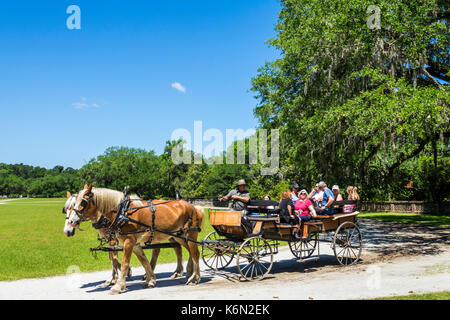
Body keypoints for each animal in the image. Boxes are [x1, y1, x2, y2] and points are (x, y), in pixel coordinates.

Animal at [69, 185, 204, 296]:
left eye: (83, 201)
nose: (71, 222)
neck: (122, 212)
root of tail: (194, 207)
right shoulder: (135, 243)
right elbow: (143, 260)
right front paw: (151, 280)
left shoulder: (129, 241)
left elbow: (124, 263)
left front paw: (118, 286)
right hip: (178, 236)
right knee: (189, 251)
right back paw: (189, 273)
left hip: (190, 234)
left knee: (196, 254)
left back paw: (195, 278)